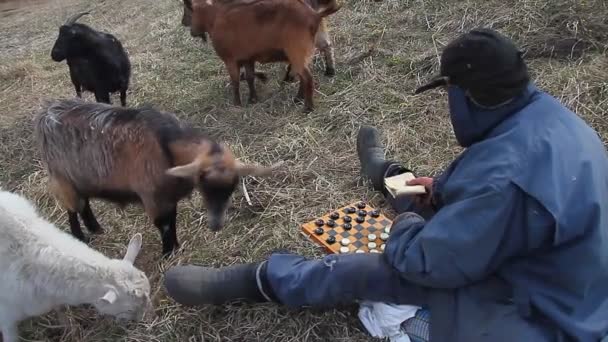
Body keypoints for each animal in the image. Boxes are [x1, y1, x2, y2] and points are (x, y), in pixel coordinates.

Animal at [33, 97, 280, 258]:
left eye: (232, 187)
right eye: (204, 185)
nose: (217, 224)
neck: (166, 145)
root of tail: (46, 113)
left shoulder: (168, 197)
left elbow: (173, 220)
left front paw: (176, 246)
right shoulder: (153, 196)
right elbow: (164, 225)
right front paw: (168, 253)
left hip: (81, 179)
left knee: (84, 204)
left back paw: (95, 228)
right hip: (62, 178)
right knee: (72, 209)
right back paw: (81, 236)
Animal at [190, 0, 342, 111]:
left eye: (191, 11)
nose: (191, 30)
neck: (216, 17)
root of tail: (314, 15)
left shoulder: (230, 60)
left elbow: (236, 81)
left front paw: (237, 104)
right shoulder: (248, 58)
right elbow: (249, 77)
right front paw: (253, 98)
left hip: (297, 51)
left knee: (307, 77)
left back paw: (307, 106)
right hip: (307, 47)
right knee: (311, 66)